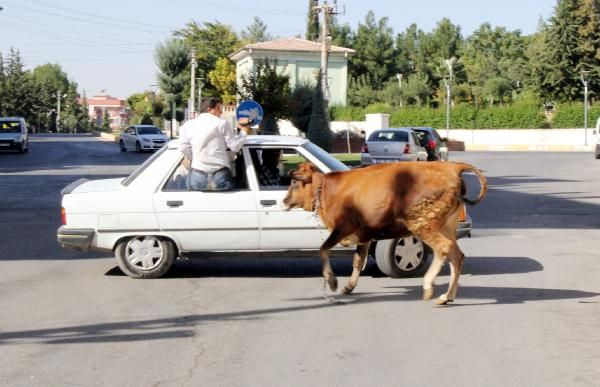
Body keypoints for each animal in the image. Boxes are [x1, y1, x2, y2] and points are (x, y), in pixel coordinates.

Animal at [282, 161, 488, 306]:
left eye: (293, 182)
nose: (284, 201)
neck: (327, 189)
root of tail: (452, 167)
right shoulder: (364, 235)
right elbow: (358, 261)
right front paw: (348, 286)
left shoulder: (342, 228)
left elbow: (323, 250)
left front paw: (332, 282)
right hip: (446, 227)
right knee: (457, 256)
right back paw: (446, 297)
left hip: (423, 225)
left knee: (444, 249)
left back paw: (429, 286)